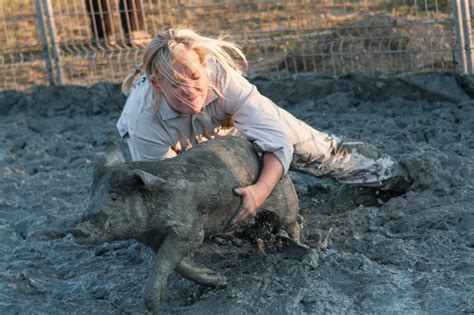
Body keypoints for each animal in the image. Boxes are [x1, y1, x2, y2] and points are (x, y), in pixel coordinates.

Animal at [70, 136, 300, 314]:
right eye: (92, 194)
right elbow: (178, 264)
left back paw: (299, 248)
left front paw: (152, 307)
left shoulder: (188, 230)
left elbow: (164, 260)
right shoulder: (155, 240)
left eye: (115, 197)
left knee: (293, 223)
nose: (77, 230)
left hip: (284, 198)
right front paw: (220, 281)